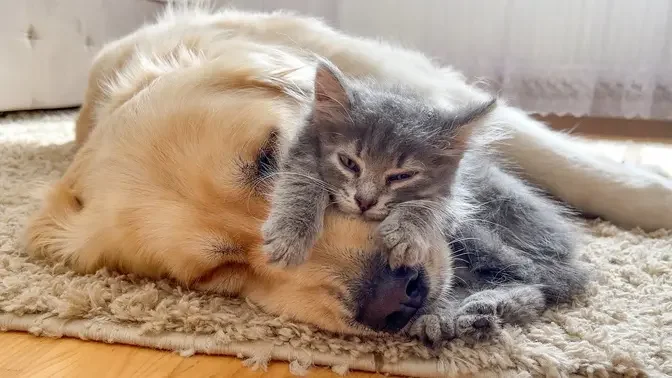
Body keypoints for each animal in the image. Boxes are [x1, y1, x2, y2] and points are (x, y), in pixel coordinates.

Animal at [260, 60, 496, 268]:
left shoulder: (453, 199)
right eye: (348, 163)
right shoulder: (300, 148)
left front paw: (406, 232)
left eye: (402, 176)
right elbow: (303, 183)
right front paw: (290, 233)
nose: (364, 202)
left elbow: (431, 205)